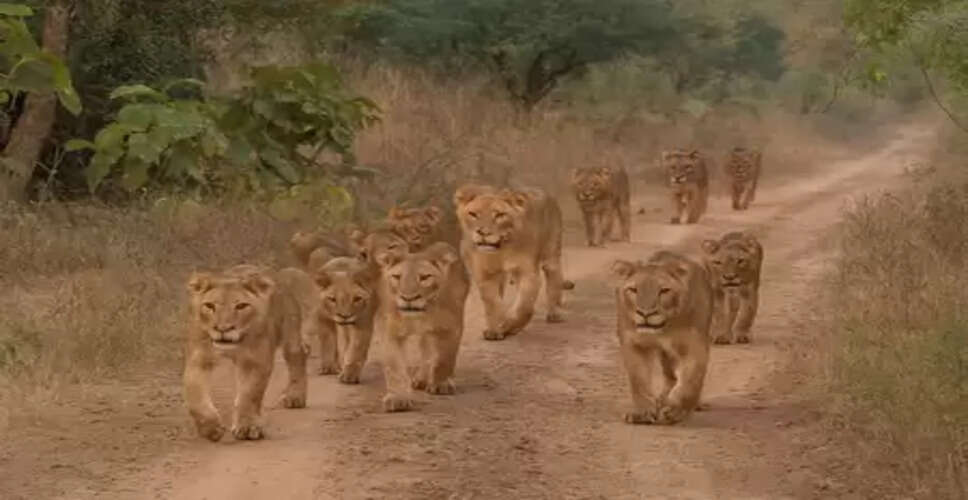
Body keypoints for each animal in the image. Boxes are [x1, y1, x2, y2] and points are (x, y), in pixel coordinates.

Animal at [184, 264, 308, 442]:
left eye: (241, 306)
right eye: (210, 306)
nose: (222, 329)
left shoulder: (255, 361)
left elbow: (249, 394)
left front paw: (247, 427)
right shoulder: (199, 359)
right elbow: (194, 395)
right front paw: (210, 428)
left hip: (290, 330)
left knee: (297, 356)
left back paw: (295, 396)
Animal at [454, 183, 574, 341]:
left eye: (499, 215)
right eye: (473, 214)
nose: (483, 232)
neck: (501, 250)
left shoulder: (527, 273)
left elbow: (524, 307)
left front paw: (509, 326)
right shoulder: (485, 274)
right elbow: (492, 303)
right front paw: (494, 330)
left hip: (551, 255)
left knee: (553, 284)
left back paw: (554, 314)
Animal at [610, 250, 713, 425]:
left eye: (664, 290)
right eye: (634, 289)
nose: (645, 313)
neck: (664, 329)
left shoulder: (694, 345)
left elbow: (691, 381)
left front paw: (674, 411)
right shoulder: (634, 343)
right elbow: (638, 380)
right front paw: (643, 412)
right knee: (669, 375)